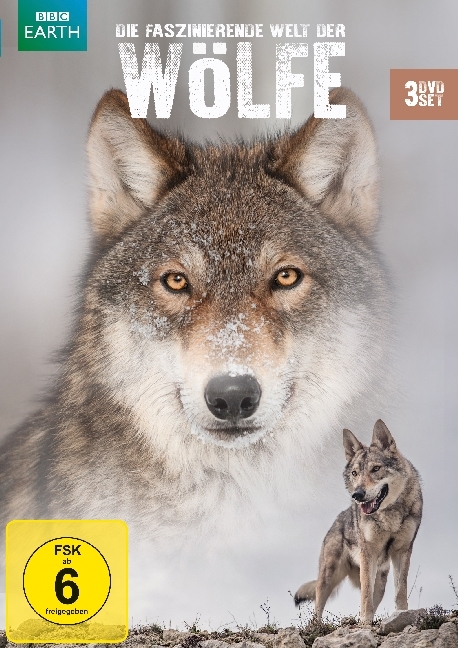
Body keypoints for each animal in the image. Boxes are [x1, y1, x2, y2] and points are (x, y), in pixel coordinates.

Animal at [294, 420, 423, 624]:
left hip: (380, 582)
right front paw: (365, 623)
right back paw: (316, 627)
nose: (357, 495)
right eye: (355, 473)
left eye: (376, 469)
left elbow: (400, 591)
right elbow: (365, 596)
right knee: (317, 608)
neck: (389, 516)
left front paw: (403, 615)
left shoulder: (402, 551)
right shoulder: (368, 553)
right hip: (328, 576)